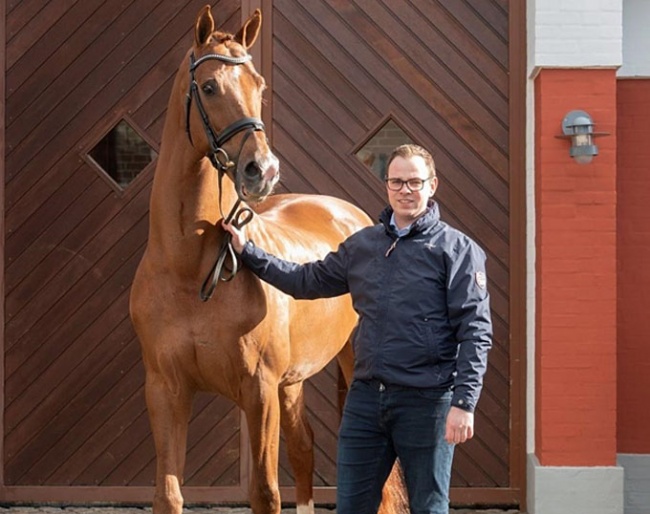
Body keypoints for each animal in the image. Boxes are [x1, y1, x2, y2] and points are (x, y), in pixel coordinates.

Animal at [130, 4, 404, 512]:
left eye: (258, 86)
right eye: (209, 87)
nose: (263, 169)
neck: (190, 271)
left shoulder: (258, 393)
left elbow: (263, 490)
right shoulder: (165, 390)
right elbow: (169, 494)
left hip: (346, 366)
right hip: (291, 384)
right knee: (303, 449)